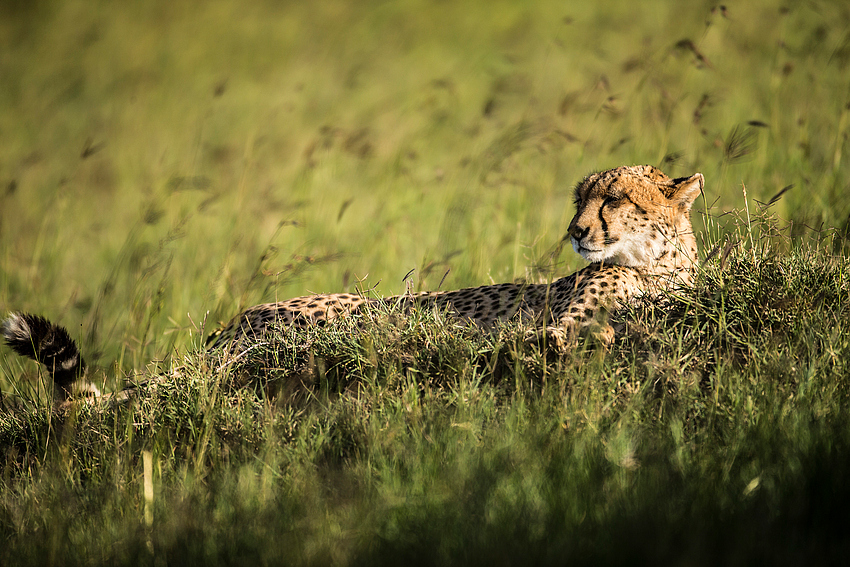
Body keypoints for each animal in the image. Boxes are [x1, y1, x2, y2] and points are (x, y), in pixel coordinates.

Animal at [3, 164, 700, 404]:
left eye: (613, 198)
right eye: (581, 199)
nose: (575, 230)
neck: (662, 262)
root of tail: (231, 324)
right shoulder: (558, 324)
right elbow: (570, 334)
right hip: (333, 321)